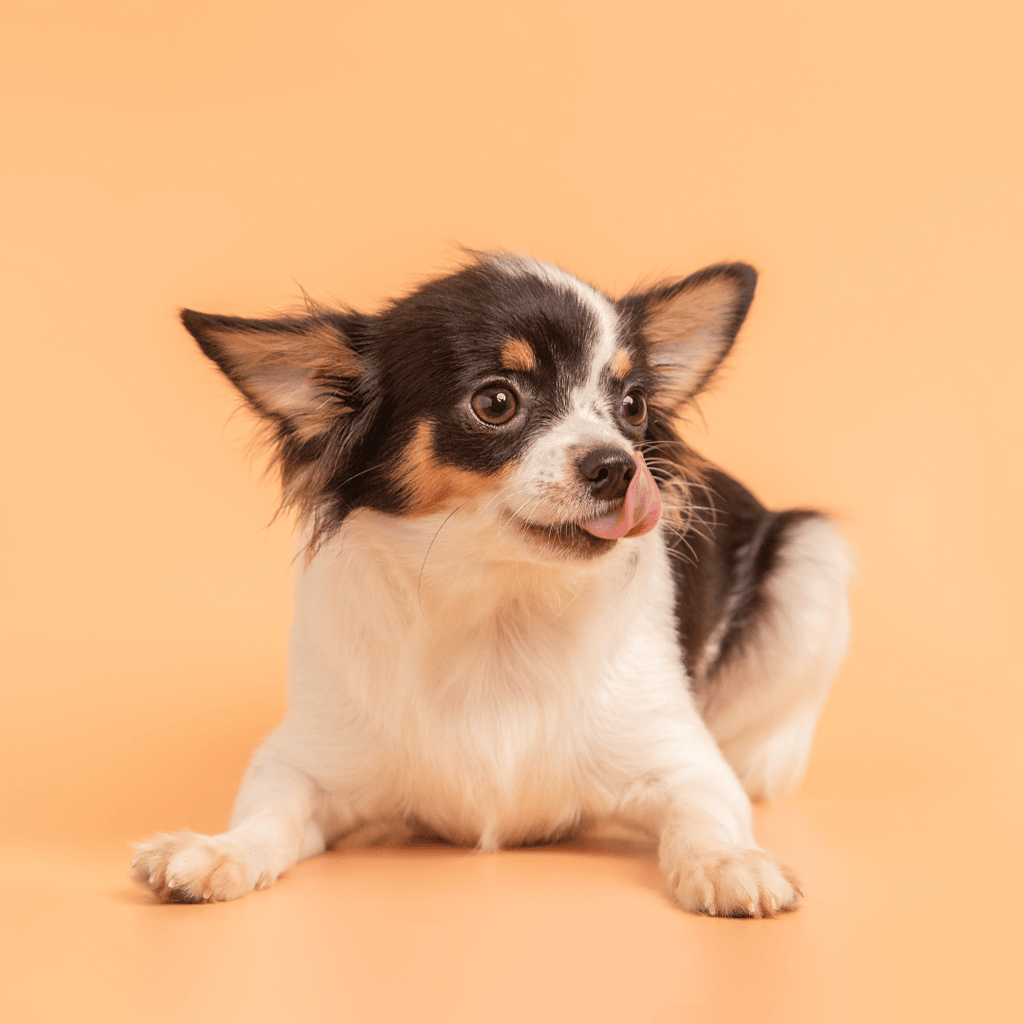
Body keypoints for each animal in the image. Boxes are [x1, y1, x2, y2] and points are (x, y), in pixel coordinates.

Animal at [132, 251, 851, 917]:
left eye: (634, 406)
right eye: (496, 402)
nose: (620, 465)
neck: (502, 609)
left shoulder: (689, 766)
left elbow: (703, 815)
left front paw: (729, 861)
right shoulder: (300, 764)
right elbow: (267, 818)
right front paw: (215, 851)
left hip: (812, 558)